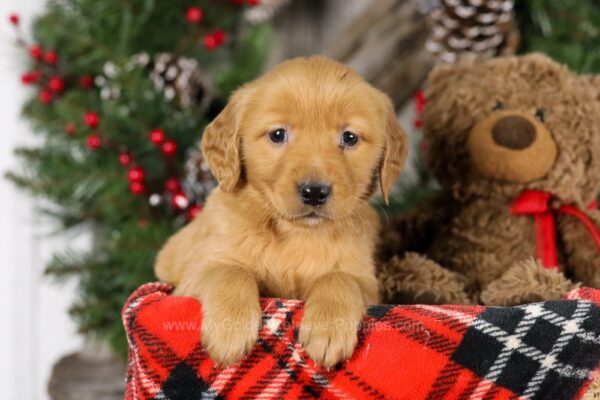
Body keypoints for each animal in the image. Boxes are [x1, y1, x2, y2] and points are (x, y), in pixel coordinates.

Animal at [155, 56, 408, 368]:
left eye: (349, 138)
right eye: (278, 134)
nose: (314, 192)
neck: (294, 234)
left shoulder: (367, 282)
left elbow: (339, 277)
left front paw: (329, 327)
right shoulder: (192, 277)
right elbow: (231, 270)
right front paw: (230, 330)